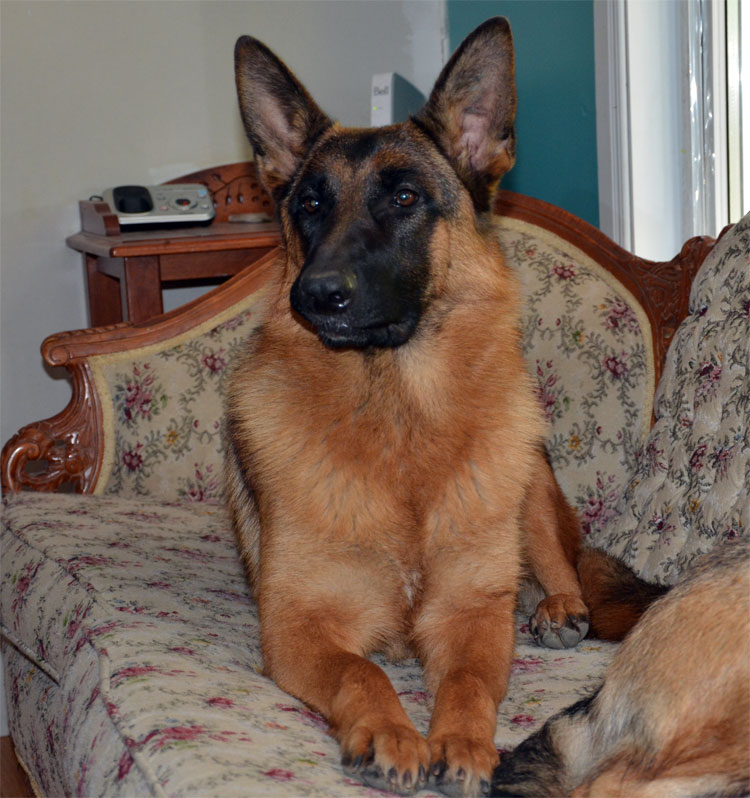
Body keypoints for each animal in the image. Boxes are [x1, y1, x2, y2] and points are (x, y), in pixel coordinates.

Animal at [225, 18, 592, 798]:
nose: (315, 295)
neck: (399, 415)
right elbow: (361, 671)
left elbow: (469, 683)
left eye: (404, 199)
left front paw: (463, 742)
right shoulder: (296, 627)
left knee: (557, 556)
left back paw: (560, 605)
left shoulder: (472, 617)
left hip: (529, 478)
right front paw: (392, 733)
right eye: (310, 205)